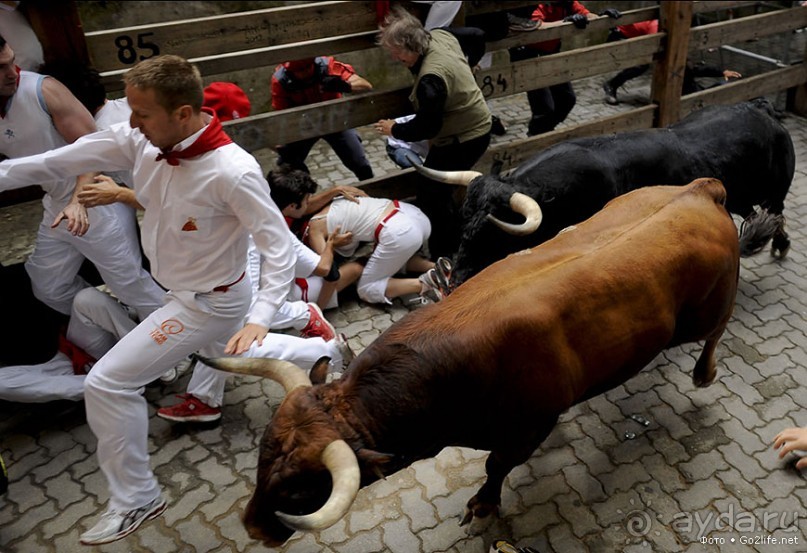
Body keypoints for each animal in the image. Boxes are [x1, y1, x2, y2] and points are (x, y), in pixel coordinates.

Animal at [200, 178, 740, 548]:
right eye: (262, 458)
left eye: (298, 491)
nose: (253, 528)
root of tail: (698, 189)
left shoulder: (528, 425)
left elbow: (496, 464)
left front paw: (484, 503)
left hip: (707, 308)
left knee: (715, 331)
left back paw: (703, 372)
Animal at [420, 98, 792, 284]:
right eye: (463, 222)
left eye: (493, 232)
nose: (456, 279)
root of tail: (761, 109)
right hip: (743, 196)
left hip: (777, 190)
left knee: (778, 213)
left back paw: (780, 244)